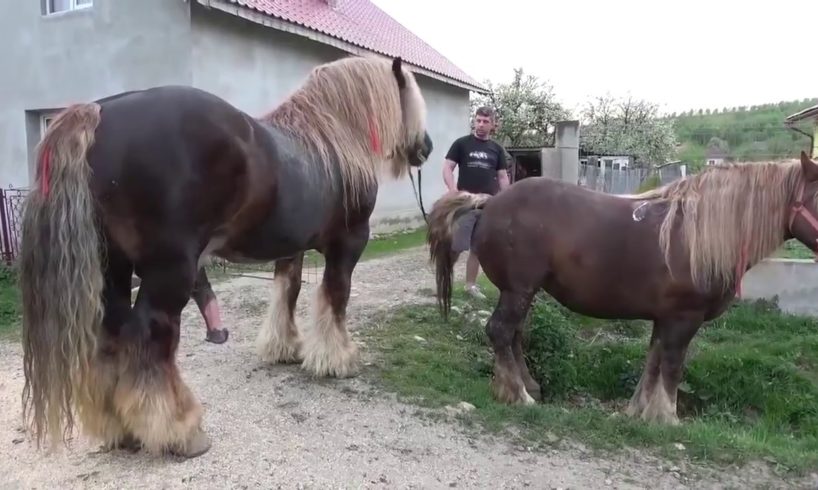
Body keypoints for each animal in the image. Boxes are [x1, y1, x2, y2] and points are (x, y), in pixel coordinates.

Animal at [19, 55, 432, 459]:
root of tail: (100, 114)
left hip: (113, 266)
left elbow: (288, 292)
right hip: (171, 269)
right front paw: (338, 359)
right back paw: (179, 430)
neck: (333, 139)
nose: (425, 147)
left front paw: (284, 347)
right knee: (152, 333)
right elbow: (336, 297)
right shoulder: (348, 244)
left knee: (113, 333)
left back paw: (120, 428)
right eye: (408, 95)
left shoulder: (291, 247)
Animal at [427, 151, 818, 425]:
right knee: (500, 331)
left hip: (521, 292)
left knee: (514, 334)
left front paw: (638, 412)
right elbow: (672, 367)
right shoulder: (683, 319)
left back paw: (522, 386)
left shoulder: (665, 318)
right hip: (519, 290)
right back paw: (518, 395)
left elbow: (653, 363)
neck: (696, 236)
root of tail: (490, 202)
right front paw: (667, 418)